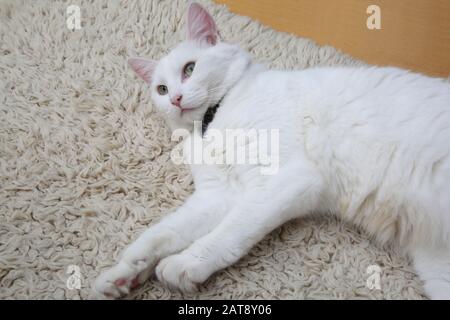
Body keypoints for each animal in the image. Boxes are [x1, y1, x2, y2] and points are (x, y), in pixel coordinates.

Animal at [93, 2, 450, 298]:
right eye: (161, 89)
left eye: (190, 69)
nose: (176, 99)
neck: (213, 121)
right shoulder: (217, 195)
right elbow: (162, 233)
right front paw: (123, 273)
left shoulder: (285, 181)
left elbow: (230, 231)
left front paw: (186, 264)